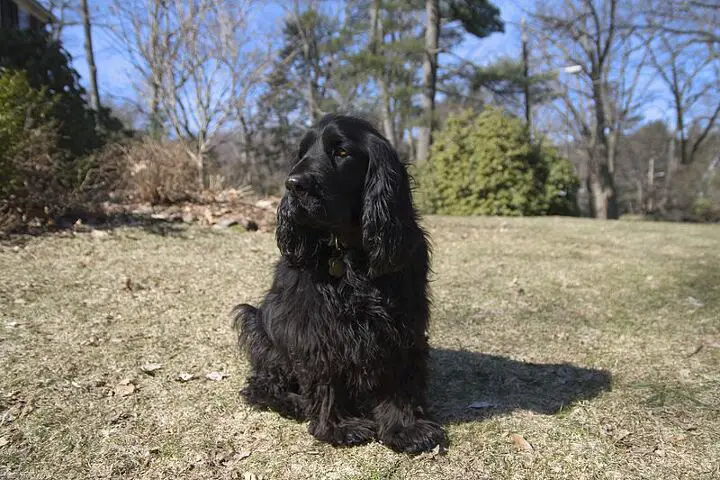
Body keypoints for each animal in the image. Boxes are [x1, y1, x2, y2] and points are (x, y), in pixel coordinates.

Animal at [233, 114, 444, 452]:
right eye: (301, 152)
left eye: (342, 152)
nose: (293, 185)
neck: (346, 251)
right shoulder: (316, 324)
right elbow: (326, 372)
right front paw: (337, 426)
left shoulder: (401, 320)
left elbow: (399, 373)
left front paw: (404, 427)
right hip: (257, 324)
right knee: (260, 386)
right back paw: (295, 403)